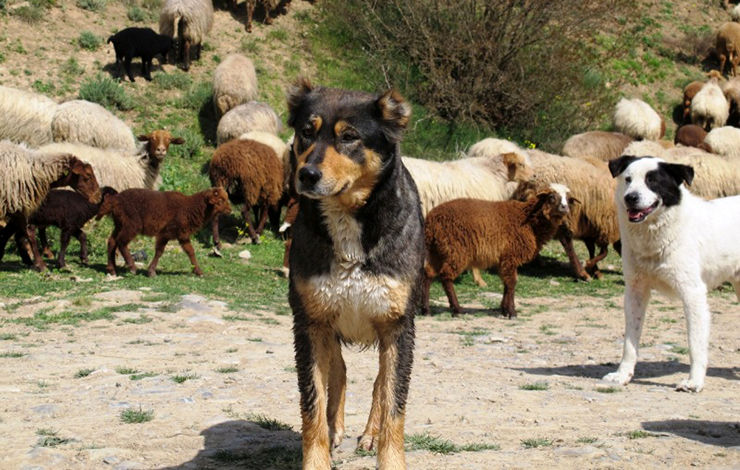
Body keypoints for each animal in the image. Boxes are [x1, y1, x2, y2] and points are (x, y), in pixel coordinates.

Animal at [97, 186, 228, 278]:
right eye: (220, 200)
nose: (229, 210)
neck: (189, 207)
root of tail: (115, 199)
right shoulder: (166, 233)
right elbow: (160, 251)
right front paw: (151, 272)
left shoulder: (182, 236)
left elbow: (190, 252)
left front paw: (199, 272)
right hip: (132, 226)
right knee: (121, 242)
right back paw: (132, 268)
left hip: (119, 225)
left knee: (112, 242)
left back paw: (112, 270)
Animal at [290, 79, 428, 468]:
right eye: (306, 132)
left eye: (349, 136)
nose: (307, 174)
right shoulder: (310, 322)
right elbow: (313, 403)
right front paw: (318, 457)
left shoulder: (397, 325)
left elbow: (394, 403)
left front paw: (389, 456)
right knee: (340, 373)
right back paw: (337, 429)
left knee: (380, 384)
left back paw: (369, 434)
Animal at [422, 185, 572, 318]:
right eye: (551, 197)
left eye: (568, 198)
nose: (565, 208)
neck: (529, 221)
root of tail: (431, 220)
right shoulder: (511, 255)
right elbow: (511, 283)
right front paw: (511, 312)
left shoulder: (505, 258)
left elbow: (506, 283)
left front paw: (504, 309)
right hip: (456, 250)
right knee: (446, 276)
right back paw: (457, 310)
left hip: (436, 251)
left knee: (428, 274)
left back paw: (426, 310)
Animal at [604, 156, 736, 392]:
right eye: (628, 179)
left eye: (653, 180)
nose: (630, 198)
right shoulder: (635, 292)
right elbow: (630, 341)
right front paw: (622, 375)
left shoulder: (693, 294)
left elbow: (695, 343)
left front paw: (694, 382)